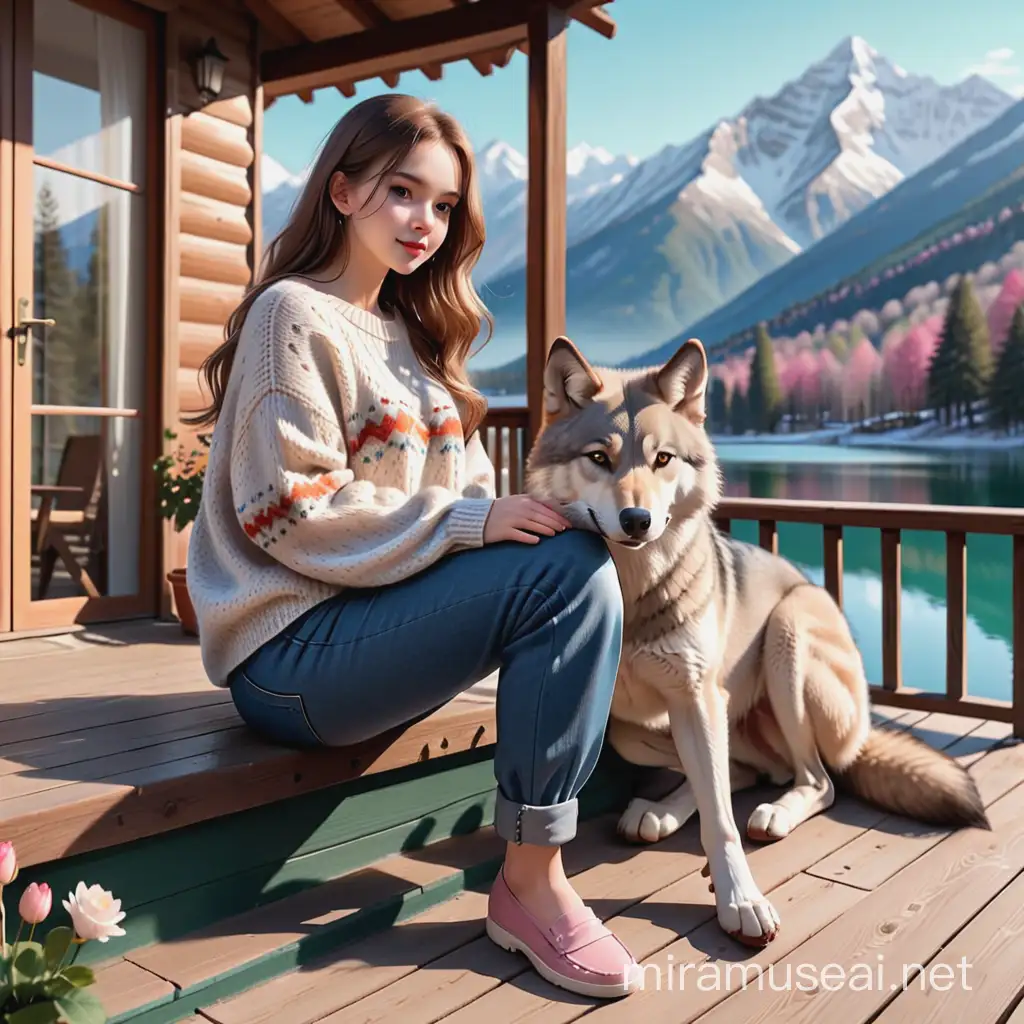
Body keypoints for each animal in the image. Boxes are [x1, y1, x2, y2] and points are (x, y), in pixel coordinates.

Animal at [524, 339, 987, 946]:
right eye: (599, 458)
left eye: (663, 460)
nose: (637, 518)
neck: (633, 587)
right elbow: (712, 794)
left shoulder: (698, 697)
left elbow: (722, 823)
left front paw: (740, 902)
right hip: (635, 730)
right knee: (746, 771)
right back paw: (660, 812)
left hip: (786, 637)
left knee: (815, 780)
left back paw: (776, 812)